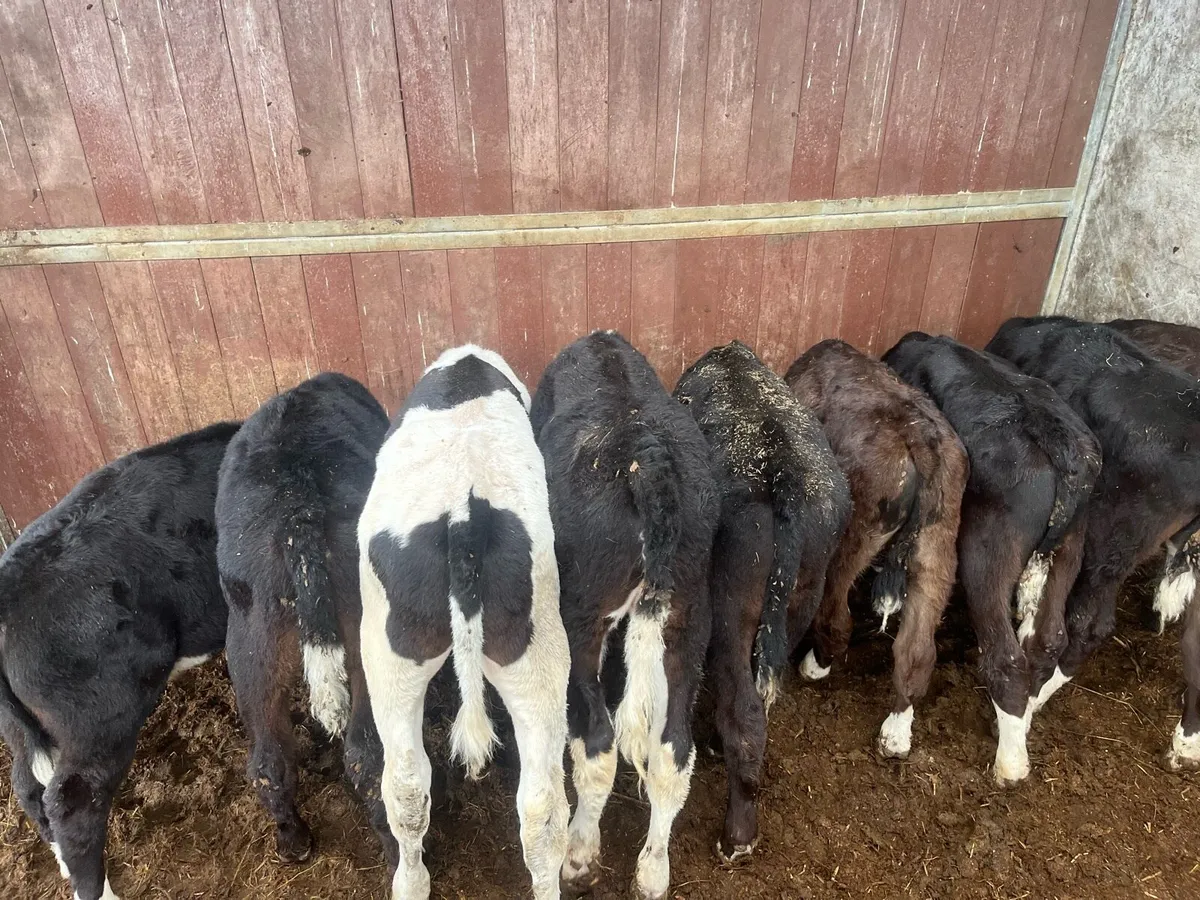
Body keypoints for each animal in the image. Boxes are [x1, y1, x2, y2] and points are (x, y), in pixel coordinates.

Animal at [530, 331, 718, 900]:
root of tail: (647, 461)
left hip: (580, 619)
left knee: (598, 745)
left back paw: (579, 855)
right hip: (688, 613)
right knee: (673, 751)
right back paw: (653, 871)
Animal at [673, 341, 849, 860]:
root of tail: (781, 473)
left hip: (732, 609)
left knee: (744, 711)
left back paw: (736, 837)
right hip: (801, 596)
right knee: (760, 693)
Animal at [785, 340, 968, 760]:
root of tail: (920, 438)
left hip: (853, 538)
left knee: (838, 620)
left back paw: (815, 666)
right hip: (937, 549)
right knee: (917, 651)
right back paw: (896, 734)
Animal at [883, 332, 1101, 785]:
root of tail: (1062, 446)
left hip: (988, 556)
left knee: (1006, 657)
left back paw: (1010, 764)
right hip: (1069, 549)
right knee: (1048, 639)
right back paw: (1021, 724)